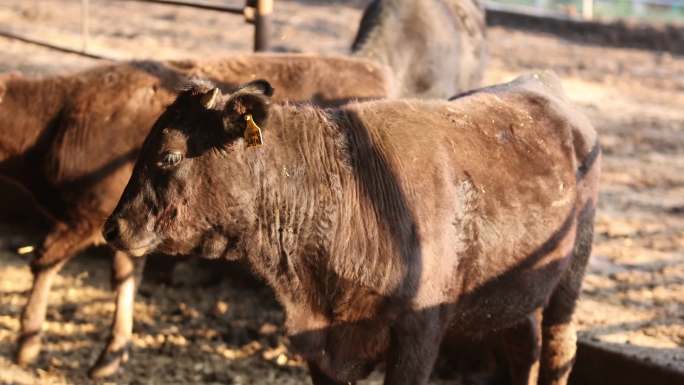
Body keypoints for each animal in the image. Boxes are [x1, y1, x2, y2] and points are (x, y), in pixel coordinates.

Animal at [0, 54, 390, 378]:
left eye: (168, 156)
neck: (60, 116)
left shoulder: (88, 219)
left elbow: (44, 261)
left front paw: (27, 342)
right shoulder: (125, 225)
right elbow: (125, 277)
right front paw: (112, 355)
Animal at [104, 70, 600, 382]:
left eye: (168, 156)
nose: (114, 227)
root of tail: (541, 84)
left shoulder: (420, 332)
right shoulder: (321, 341)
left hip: (570, 280)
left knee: (559, 348)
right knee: (523, 345)